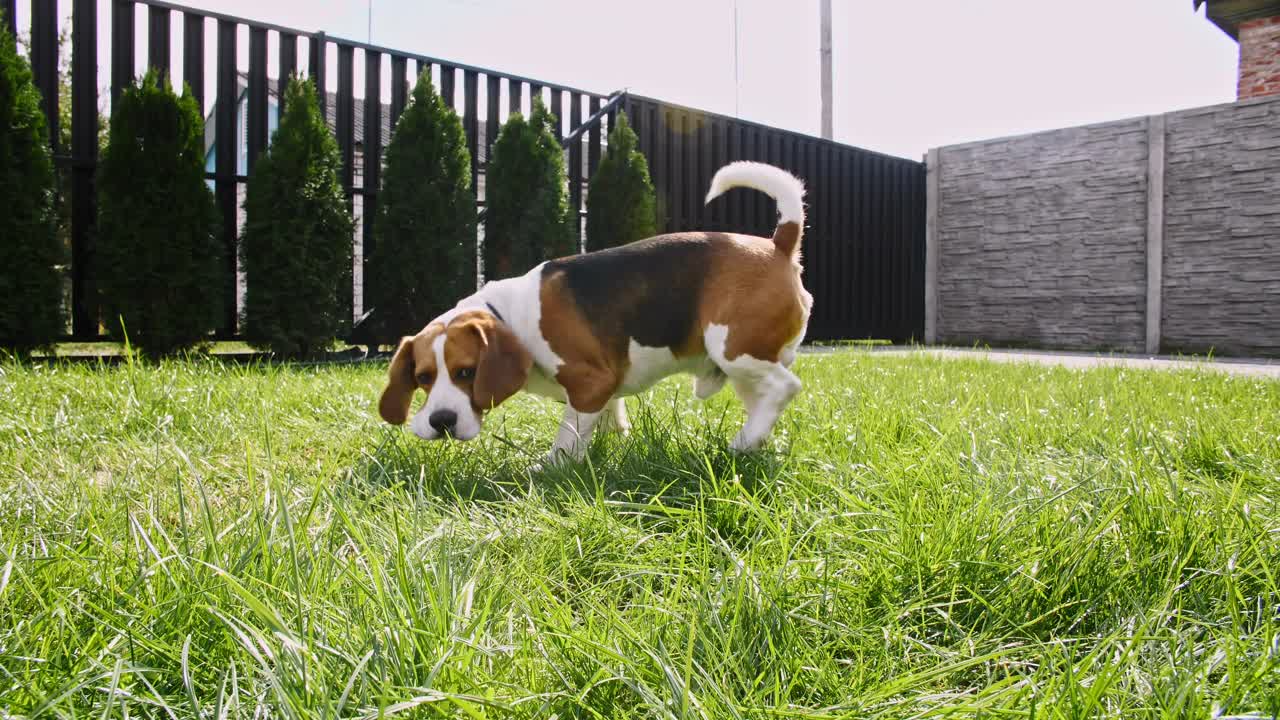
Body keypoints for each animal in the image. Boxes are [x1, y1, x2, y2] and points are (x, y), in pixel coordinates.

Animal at [373, 161, 808, 466]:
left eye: (466, 371)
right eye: (423, 377)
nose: (441, 421)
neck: (510, 316)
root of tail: (778, 245)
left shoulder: (590, 383)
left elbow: (568, 435)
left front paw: (550, 467)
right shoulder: (607, 388)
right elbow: (610, 419)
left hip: (733, 349)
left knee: (786, 387)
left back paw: (741, 444)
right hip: (742, 369)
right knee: (766, 397)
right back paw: (754, 442)